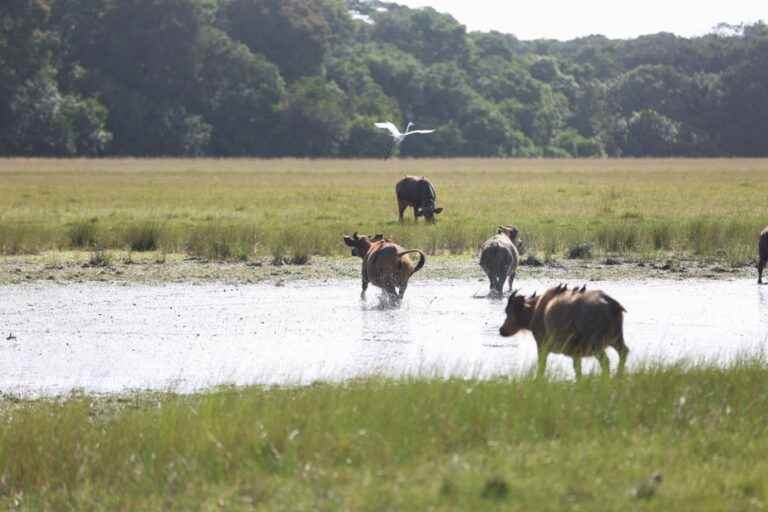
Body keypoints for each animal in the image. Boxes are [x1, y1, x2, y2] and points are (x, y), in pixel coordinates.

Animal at [498, 284, 632, 380]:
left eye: (508, 310)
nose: (501, 330)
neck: (537, 309)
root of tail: (611, 304)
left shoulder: (542, 346)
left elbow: (542, 366)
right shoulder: (576, 354)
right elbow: (577, 370)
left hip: (596, 346)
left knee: (606, 362)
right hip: (616, 339)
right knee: (623, 352)